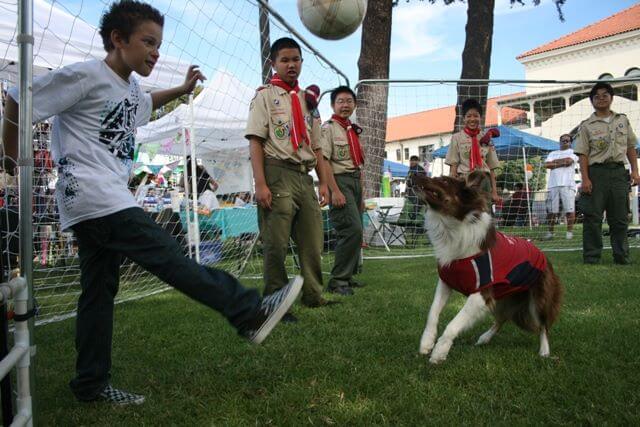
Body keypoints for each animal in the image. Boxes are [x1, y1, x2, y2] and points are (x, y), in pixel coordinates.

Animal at [408, 172, 564, 366]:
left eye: (444, 180)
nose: (413, 174)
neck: (451, 227)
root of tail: (544, 256)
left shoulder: (482, 293)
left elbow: (453, 324)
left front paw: (439, 352)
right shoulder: (446, 282)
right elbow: (432, 312)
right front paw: (426, 343)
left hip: (538, 298)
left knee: (543, 325)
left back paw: (544, 350)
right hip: (502, 296)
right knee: (502, 318)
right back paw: (485, 338)